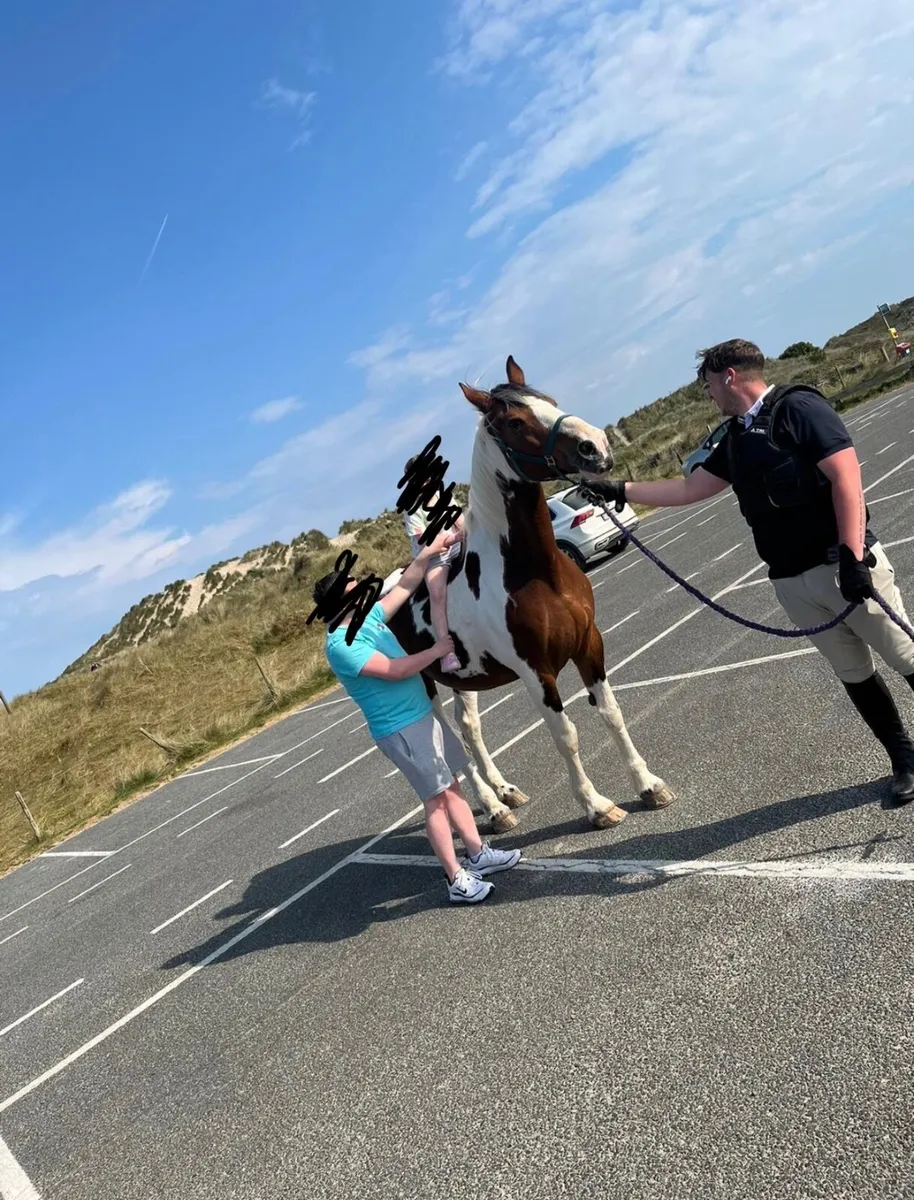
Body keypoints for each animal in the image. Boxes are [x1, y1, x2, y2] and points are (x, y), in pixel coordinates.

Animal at [387, 355, 676, 831]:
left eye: (550, 401)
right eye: (516, 422)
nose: (595, 446)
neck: (535, 574)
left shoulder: (589, 644)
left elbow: (611, 713)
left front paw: (648, 785)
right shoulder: (535, 672)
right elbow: (566, 736)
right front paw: (597, 806)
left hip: (460, 681)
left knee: (468, 730)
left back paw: (503, 791)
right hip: (421, 686)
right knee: (446, 744)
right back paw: (494, 809)